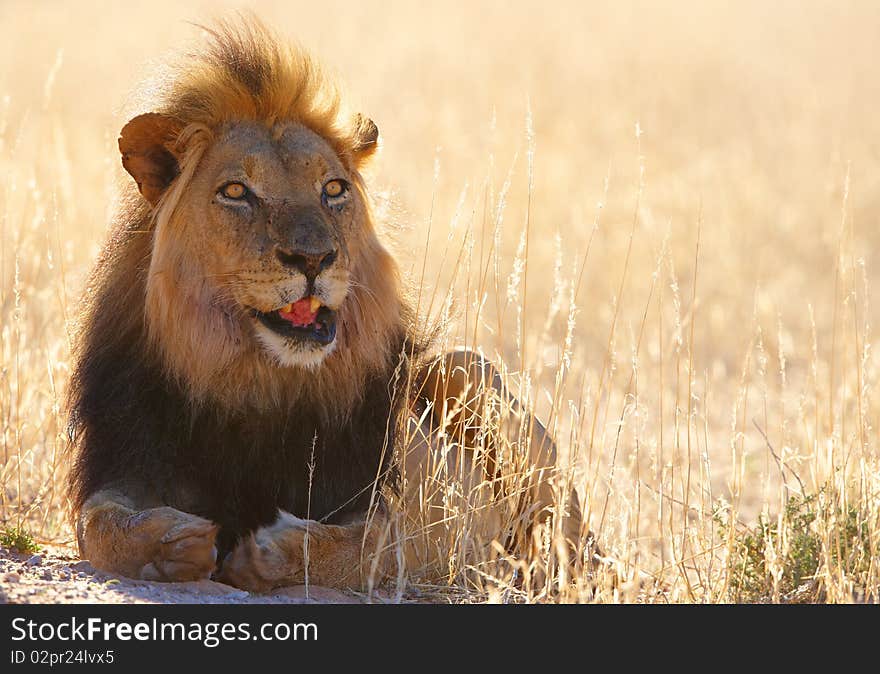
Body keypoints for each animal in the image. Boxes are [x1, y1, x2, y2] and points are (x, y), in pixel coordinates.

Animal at [67, 18, 592, 592]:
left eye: (334, 188)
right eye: (236, 191)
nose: (314, 258)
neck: (257, 381)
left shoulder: (423, 515)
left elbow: (377, 544)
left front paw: (273, 552)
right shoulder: (129, 458)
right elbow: (97, 524)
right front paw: (171, 543)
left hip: (459, 369)